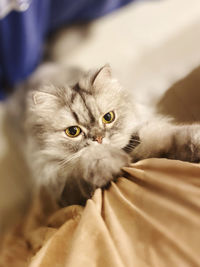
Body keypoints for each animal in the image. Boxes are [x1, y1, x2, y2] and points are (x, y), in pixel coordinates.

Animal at [7, 63, 200, 206]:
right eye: (73, 132)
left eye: (108, 117)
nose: (99, 138)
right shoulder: (63, 184)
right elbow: (88, 163)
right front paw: (108, 163)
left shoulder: (142, 137)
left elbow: (172, 137)